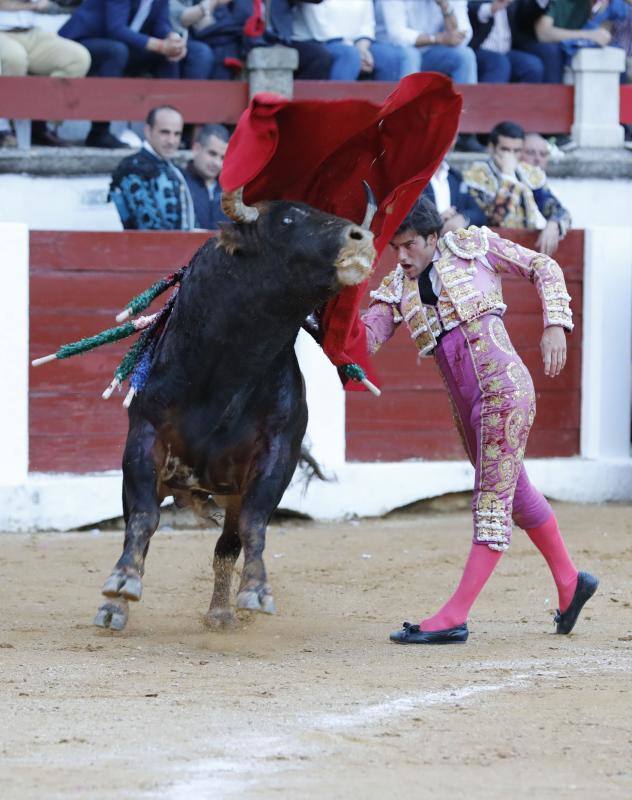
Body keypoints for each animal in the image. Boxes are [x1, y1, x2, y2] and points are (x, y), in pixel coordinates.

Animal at [94, 186, 376, 632]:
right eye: (287, 220)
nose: (362, 238)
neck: (230, 366)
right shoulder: (144, 439)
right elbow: (142, 517)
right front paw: (121, 586)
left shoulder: (275, 456)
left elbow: (251, 526)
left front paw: (255, 591)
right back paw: (115, 608)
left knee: (227, 542)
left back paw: (221, 612)